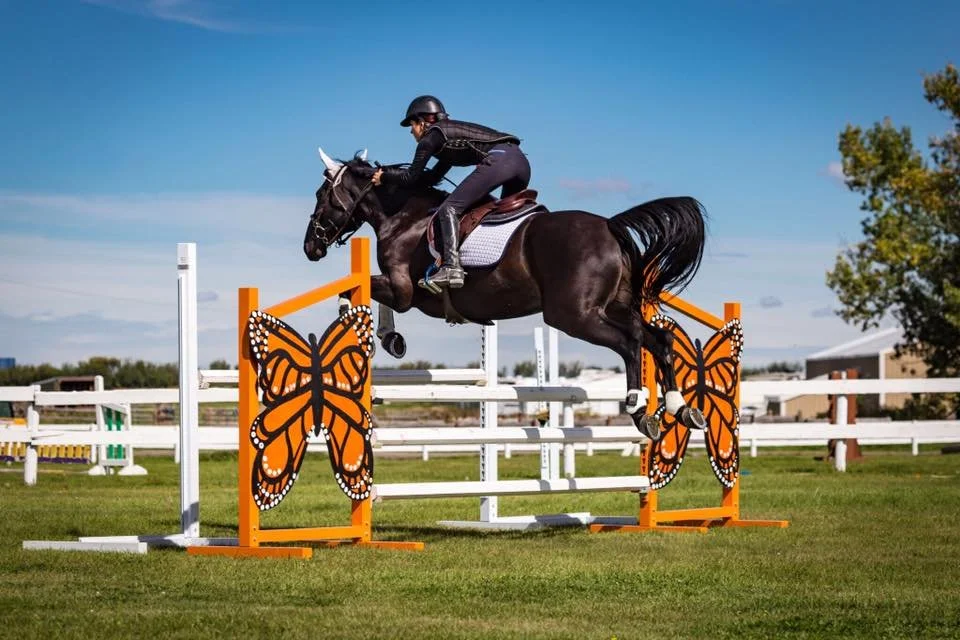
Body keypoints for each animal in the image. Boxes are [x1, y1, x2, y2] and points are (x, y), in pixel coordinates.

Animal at [303, 150, 708, 439]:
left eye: (322, 194)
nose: (311, 247)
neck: (403, 217)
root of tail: (611, 227)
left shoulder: (403, 289)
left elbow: (359, 289)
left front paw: (372, 331)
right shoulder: (402, 290)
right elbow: (369, 293)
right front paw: (390, 339)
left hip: (574, 315)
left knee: (631, 342)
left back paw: (638, 408)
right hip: (612, 307)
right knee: (658, 338)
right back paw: (680, 408)